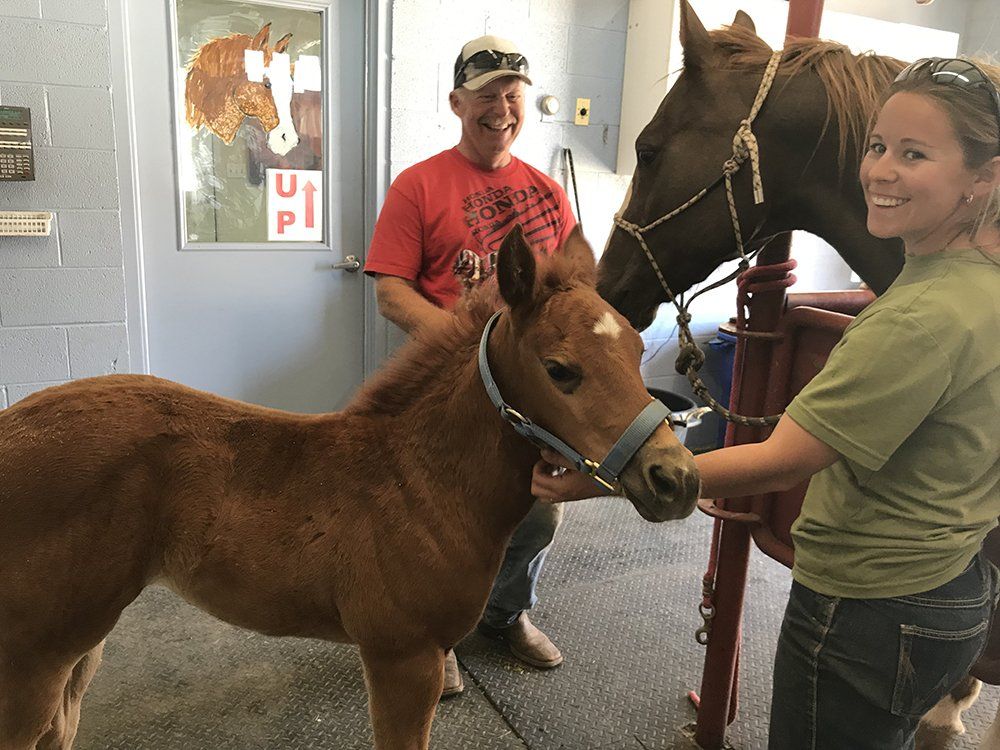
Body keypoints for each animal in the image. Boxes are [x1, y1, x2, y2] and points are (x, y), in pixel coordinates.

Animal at [0, 226, 699, 750]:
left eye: (637, 348)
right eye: (561, 370)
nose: (677, 479)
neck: (420, 482)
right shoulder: (402, 659)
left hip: (82, 645)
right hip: (33, 657)